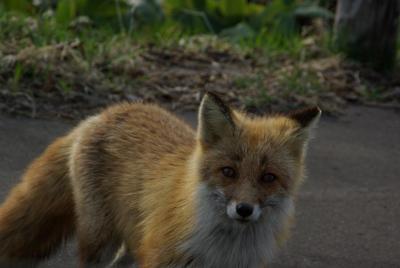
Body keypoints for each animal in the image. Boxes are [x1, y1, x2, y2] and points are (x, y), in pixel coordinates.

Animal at [0, 91, 318, 266]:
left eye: (268, 177)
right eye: (228, 171)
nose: (244, 209)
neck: (223, 250)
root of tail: (102, 114)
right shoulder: (163, 257)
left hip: (134, 241)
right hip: (100, 240)